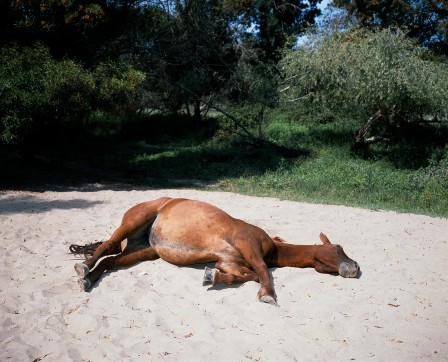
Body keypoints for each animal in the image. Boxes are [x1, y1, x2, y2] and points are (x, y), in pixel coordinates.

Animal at [71, 198, 360, 306]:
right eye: (338, 248)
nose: (356, 268)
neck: (272, 247)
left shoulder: (229, 260)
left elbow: (245, 276)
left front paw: (211, 277)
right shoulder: (249, 245)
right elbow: (262, 272)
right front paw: (267, 295)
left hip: (144, 250)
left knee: (110, 262)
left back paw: (87, 280)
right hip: (134, 221)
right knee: (106, 246)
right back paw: (82, 267)